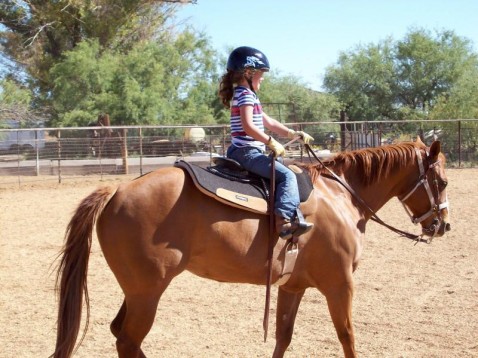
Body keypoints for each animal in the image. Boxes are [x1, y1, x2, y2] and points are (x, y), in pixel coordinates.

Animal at [50, 138, 450, 356]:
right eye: (442, 181)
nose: (442, 225)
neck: (341, 197)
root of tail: (117, 189)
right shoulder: (340, 285)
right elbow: (347, 338)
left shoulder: (292, 286)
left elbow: (283, 337)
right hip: (147, 292)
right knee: (127, 341)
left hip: (136, 292)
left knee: (120, 334)